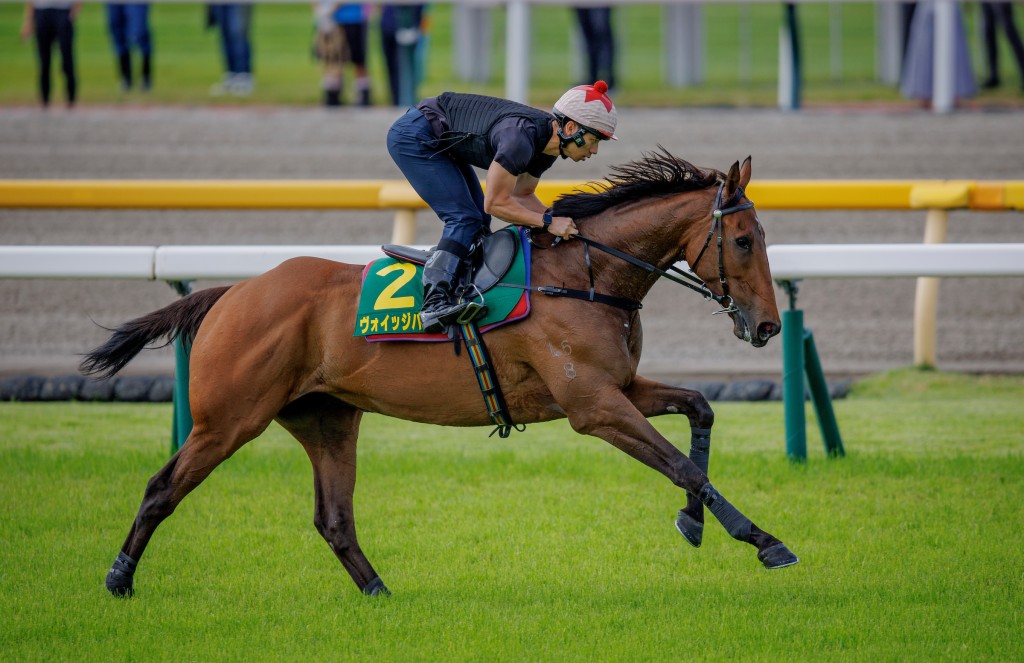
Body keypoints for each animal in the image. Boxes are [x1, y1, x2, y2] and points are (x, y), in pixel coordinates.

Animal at [83, 149, 796, 599]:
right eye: (743, 241)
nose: (767, 326)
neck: (586, 277)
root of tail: (233, 291)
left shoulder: (617, 389)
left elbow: (700, 410)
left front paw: (695, 522)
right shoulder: (592, 406)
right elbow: (682, 466)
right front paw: (761, 539)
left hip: (327, 420)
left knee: (334, 518)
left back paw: (379, 592)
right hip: (228, 418)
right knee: (161, 489)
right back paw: (119, 579)